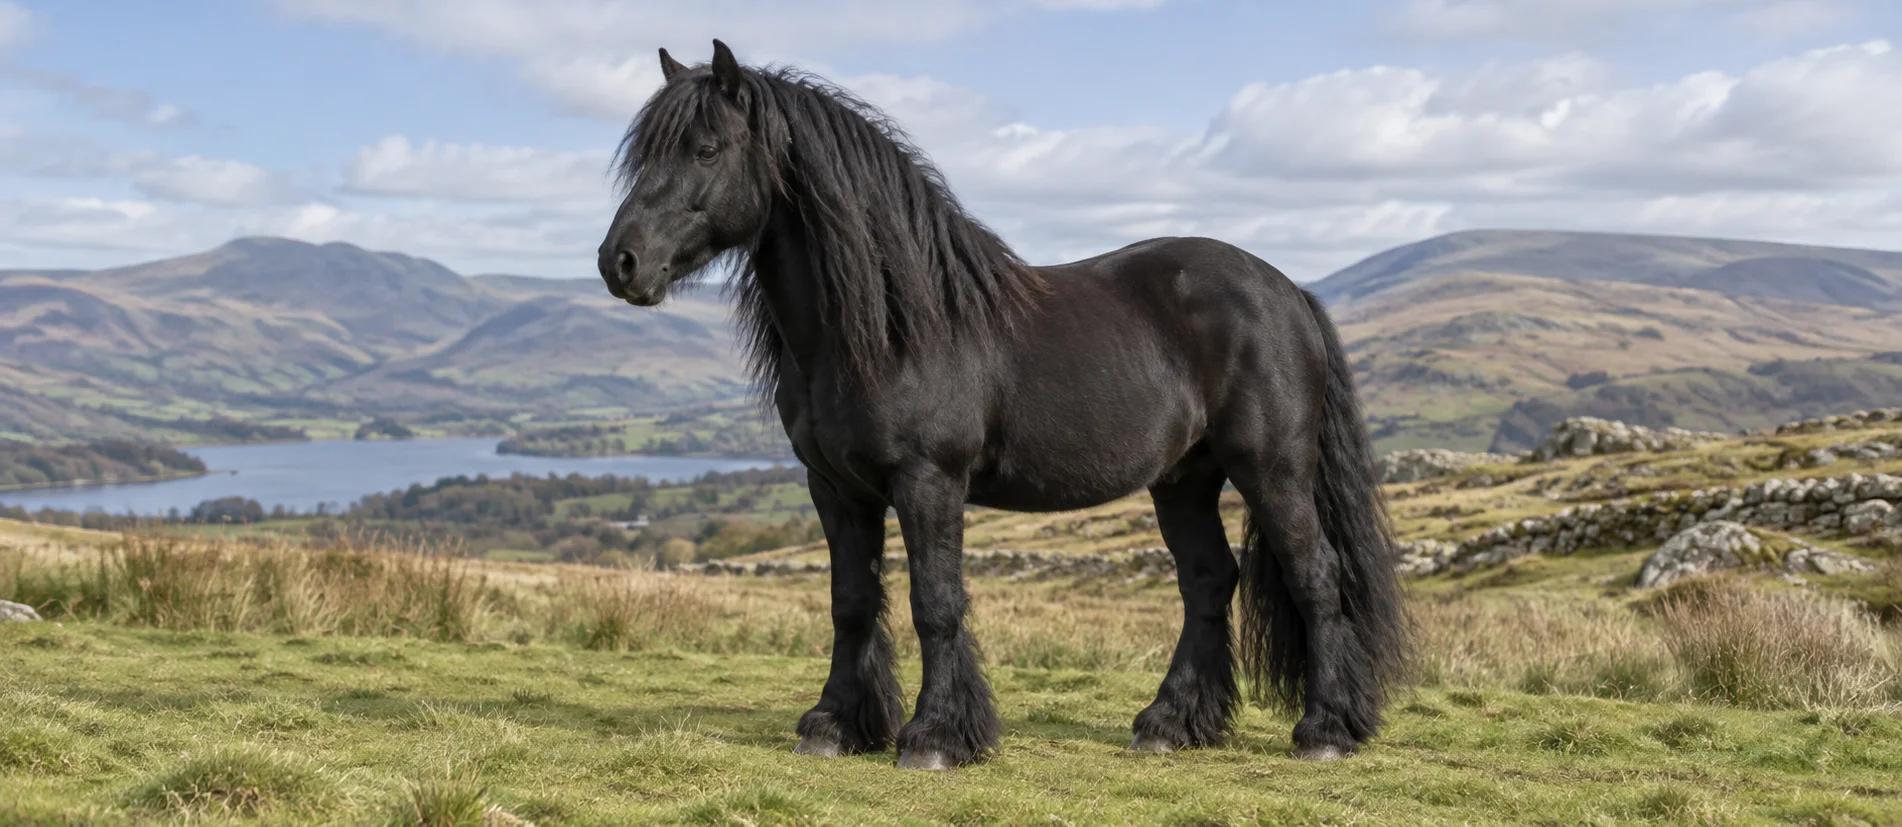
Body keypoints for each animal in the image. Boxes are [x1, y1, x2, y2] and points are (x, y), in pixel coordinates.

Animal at [596, 40, 1409, 771]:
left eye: (706, 149)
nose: (619, 263)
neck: (891, 325)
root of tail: (1290, 290)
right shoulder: (835, 487)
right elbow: (851, 600)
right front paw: (835, 725)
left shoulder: (928, 480)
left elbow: (935, 601)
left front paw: (935, 738)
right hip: (1184, 479)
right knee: (1208, 582)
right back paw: (1170, 723)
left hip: (1272, 469)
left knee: (1317, 577)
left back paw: (1325, 730)